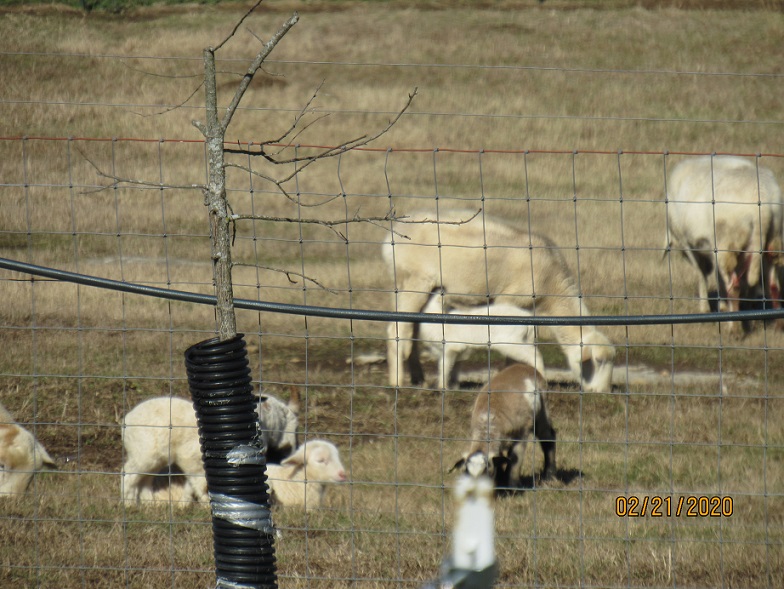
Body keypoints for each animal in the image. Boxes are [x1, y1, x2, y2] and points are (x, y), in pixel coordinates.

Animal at [416, 294, 544, 390]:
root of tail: (529, 320)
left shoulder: (451, 348)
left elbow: (444, 367)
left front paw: (443, 387)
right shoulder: (459, 352)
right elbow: (454, 369)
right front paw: (454, 387)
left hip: (510, 342)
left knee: (534, 354)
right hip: (524, 340)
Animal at [660, 155, 784, 326]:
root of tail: (762, 204)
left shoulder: (690, 244)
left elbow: (702, 274)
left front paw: (708, 307)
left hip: (726, 243)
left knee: (734, 286)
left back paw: (734, 326)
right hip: (772, 241)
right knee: (773, 285)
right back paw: (777, 323)